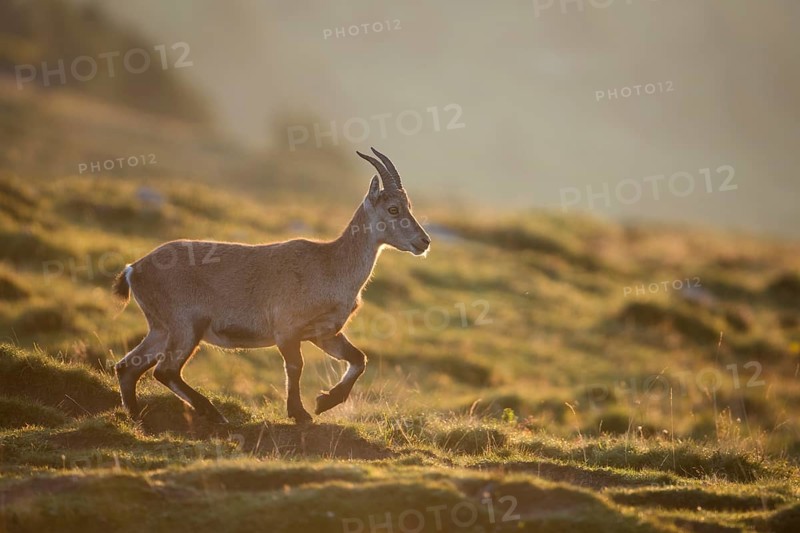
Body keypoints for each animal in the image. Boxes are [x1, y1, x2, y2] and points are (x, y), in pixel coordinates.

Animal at [112, 148, 431, 424]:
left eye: (409, 207)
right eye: (393, 209)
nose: (424, 241)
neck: (331, 266)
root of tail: (134, 268)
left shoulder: (324, 333)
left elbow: (358, 359)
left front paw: (324, 402)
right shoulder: (286, 329)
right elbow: (296, 367)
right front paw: (300, 413)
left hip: (162, 328)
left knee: (128, 367)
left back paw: (137, 417)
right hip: (186, 326)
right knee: (165, 370)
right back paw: (212, 413)